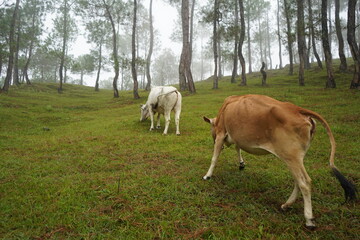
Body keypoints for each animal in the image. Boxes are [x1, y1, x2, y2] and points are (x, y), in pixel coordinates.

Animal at [202, 94, 358, 229]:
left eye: (211, 129)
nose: (212, 138)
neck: (224, 109)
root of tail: (297, 109)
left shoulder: (221, 133)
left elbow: (214, 157)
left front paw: (208, 175)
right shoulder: (236, 137)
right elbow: (238, 148)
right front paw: (241, 164)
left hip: (291, 156)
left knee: (305, 182)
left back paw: (309, 219)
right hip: (295, 158)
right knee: (298, 181)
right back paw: (286, 205)